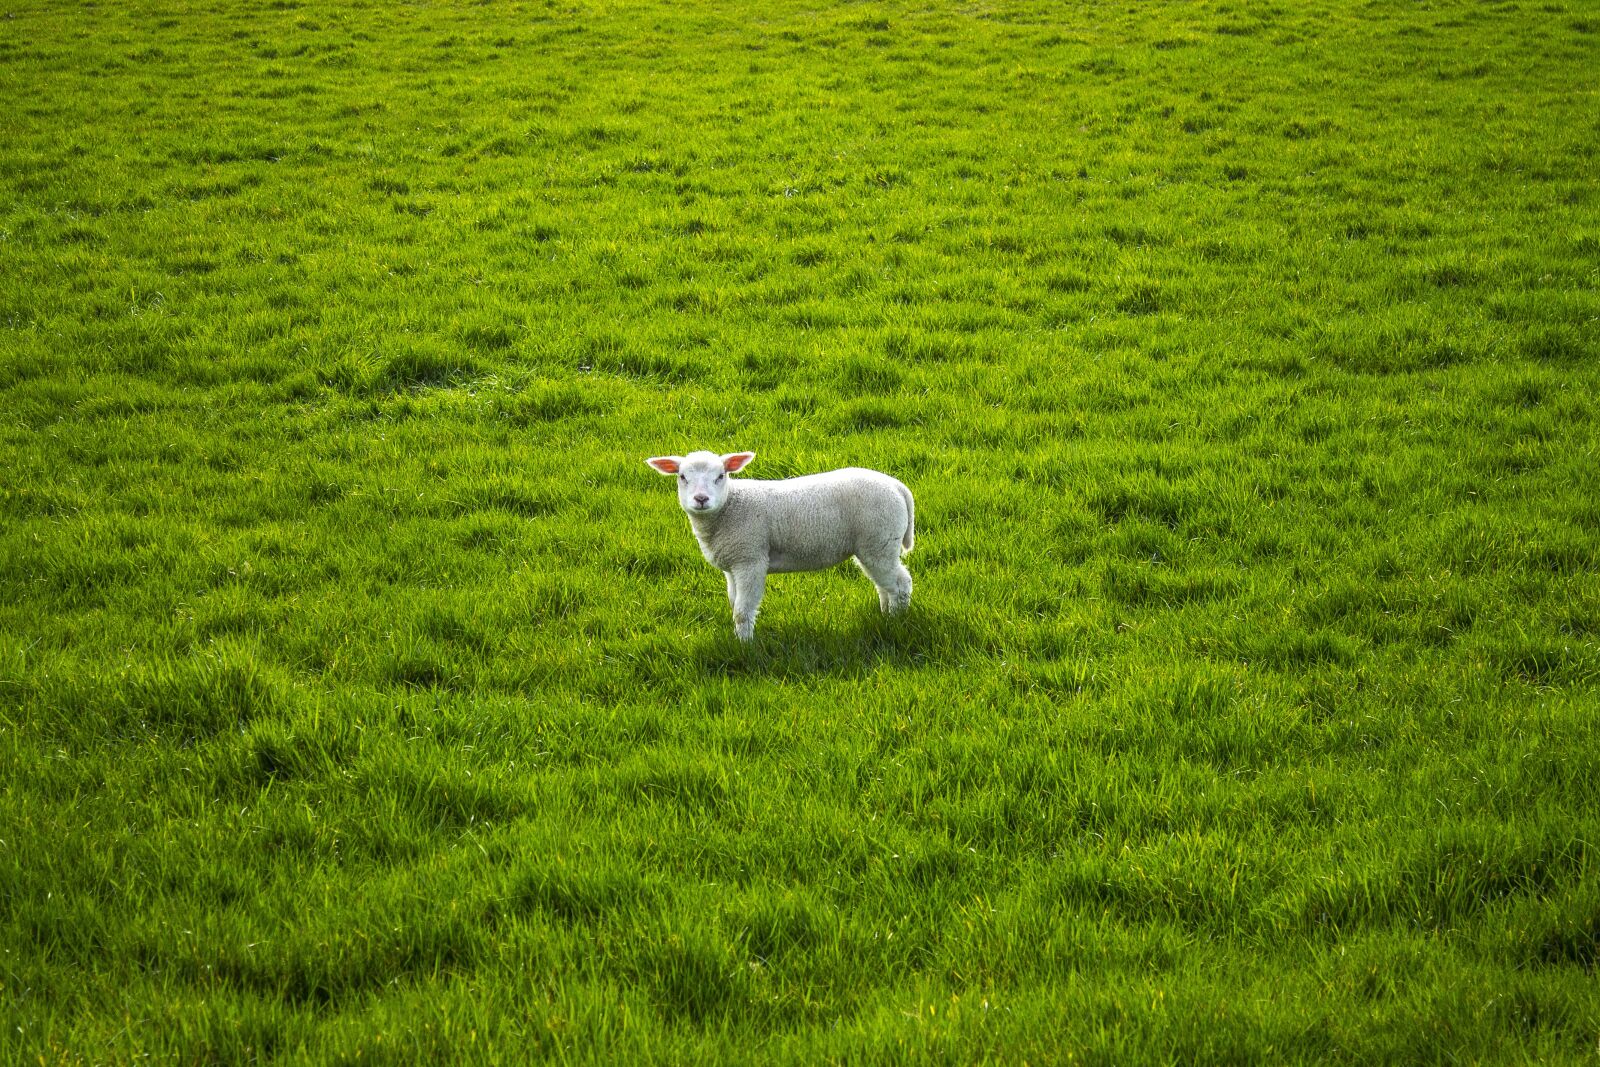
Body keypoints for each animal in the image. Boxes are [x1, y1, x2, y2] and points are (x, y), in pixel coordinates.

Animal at [645, 451, 915, 641]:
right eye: (682, 477)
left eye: (720, 476)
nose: (701, 499)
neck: (729, 508)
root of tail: (898, 487)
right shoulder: (732, 564)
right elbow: (733, 602)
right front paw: (739, 637)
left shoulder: (750, 559)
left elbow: (742, 610)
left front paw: (744, 645)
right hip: (875, 545)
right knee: (885, 584)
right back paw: (886, 615)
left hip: (879, 540)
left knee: (901, 583)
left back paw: (897, 621)